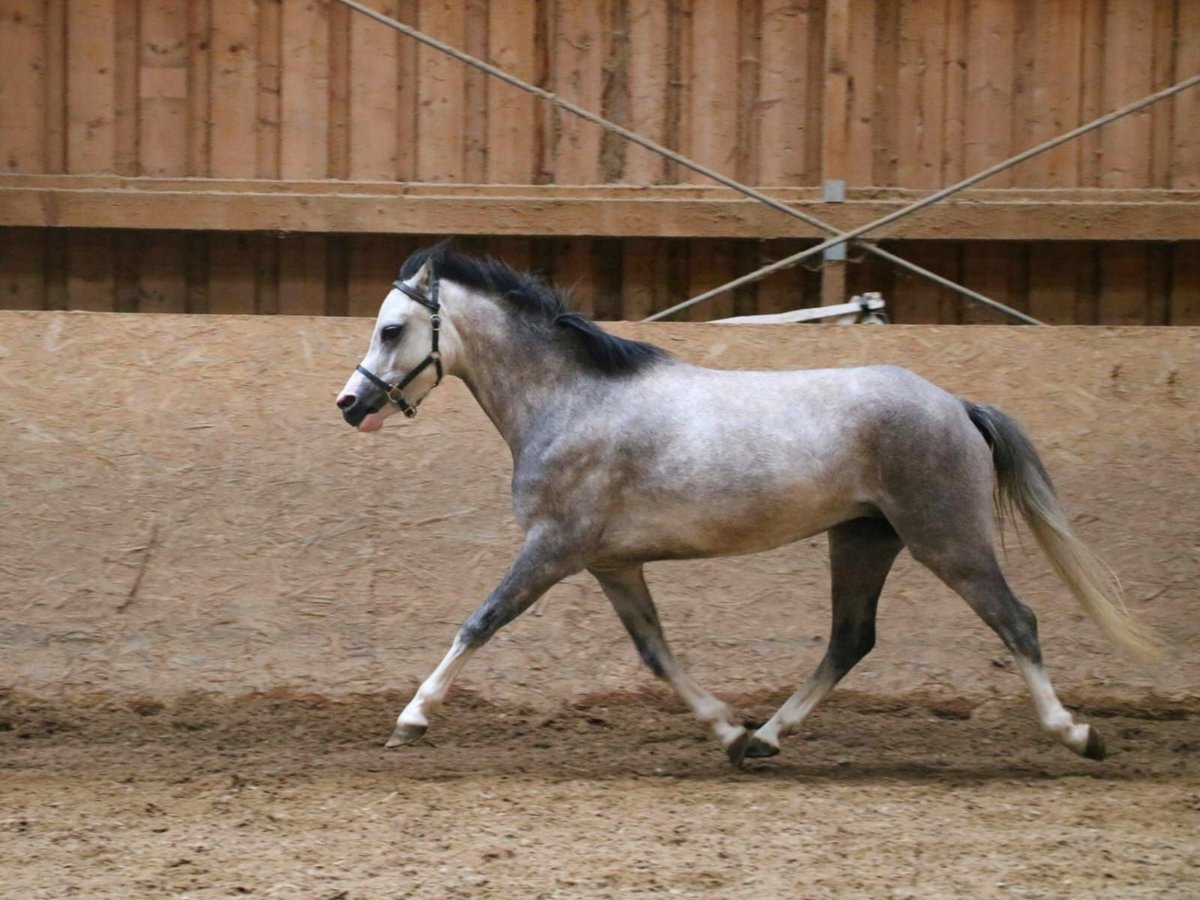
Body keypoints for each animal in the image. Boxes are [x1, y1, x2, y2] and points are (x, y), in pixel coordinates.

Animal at [333, 247, 1156, 768]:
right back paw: (764, 740)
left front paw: (411, 720)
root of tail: (956, 404)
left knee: (1016, 621)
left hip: (945, 539)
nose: (350, 405)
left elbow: (480, 622)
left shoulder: (552, 548)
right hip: (863, 541)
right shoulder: (610, 564)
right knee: (851, 640)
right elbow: (657, 653)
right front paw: (727, 731)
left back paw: (1078, 735)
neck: (571, 400)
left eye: (392, 328)